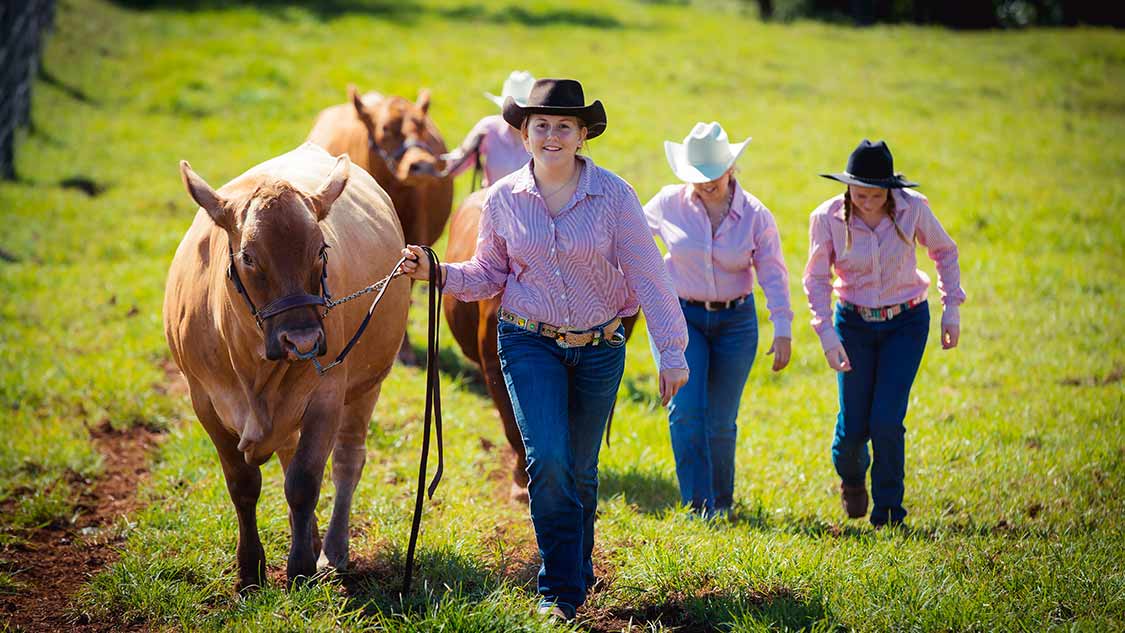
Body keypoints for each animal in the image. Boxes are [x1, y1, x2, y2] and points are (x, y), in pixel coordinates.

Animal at [164, 142, 411, 589]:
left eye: (321, 250)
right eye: (248, 256)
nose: (303, 341)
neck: (253, 368)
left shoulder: (327, 395)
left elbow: (303, 481)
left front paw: (299, 569)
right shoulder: (203, 401)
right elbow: (243, 485)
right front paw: (250, 569)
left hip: (367, 385)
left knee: (347, 460)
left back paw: (331, 549)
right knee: (286, 451)